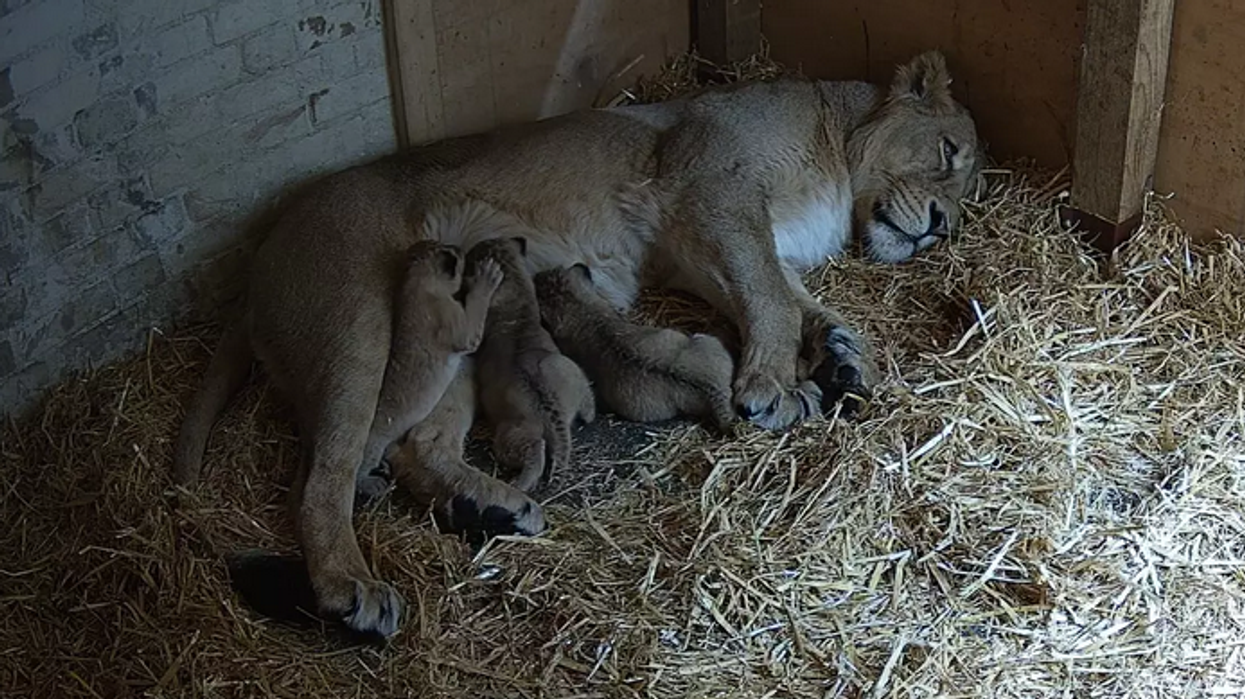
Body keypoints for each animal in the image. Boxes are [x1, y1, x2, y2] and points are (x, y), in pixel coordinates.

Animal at [172, 51, 980, 638]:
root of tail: (258, 261)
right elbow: (772, 298)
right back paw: (353, 586)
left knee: (413, 447)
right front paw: (775, 386)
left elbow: (790, 297)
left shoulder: (698, 246)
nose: (943, 226)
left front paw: (841, 354)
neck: (835, 151)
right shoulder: (712, 191)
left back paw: (489, 510)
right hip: (357, 327)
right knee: (324, 473)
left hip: (446, 344)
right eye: (948, 154)